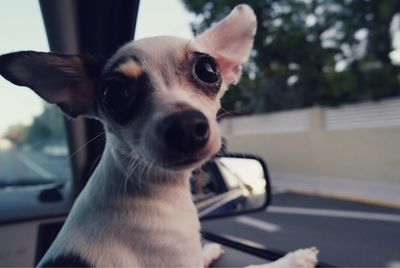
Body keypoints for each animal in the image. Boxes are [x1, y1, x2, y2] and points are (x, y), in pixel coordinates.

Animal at [0, 4, 318, 268]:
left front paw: (210, 249)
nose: (185, 126)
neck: (157, 191)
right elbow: (255, 267)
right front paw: (295, 258)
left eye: (208, 70)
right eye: (113, 94)